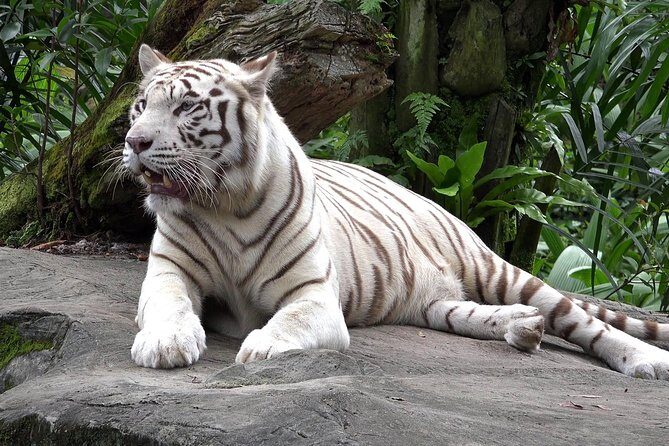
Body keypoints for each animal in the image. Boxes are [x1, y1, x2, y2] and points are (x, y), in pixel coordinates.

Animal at [123, 44, 669, 379]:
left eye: (187, 108)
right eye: (141, 105)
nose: (134, 141)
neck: (224, 205)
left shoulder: (314, 295)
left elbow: (290, 321)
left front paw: (262, 349)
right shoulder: (168, 271)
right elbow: (169, 303)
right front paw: (165, 343)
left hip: (498, 269)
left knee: (585, 321)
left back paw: (645, 359)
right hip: (431, 301)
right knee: (467, 311)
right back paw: (522, 326)